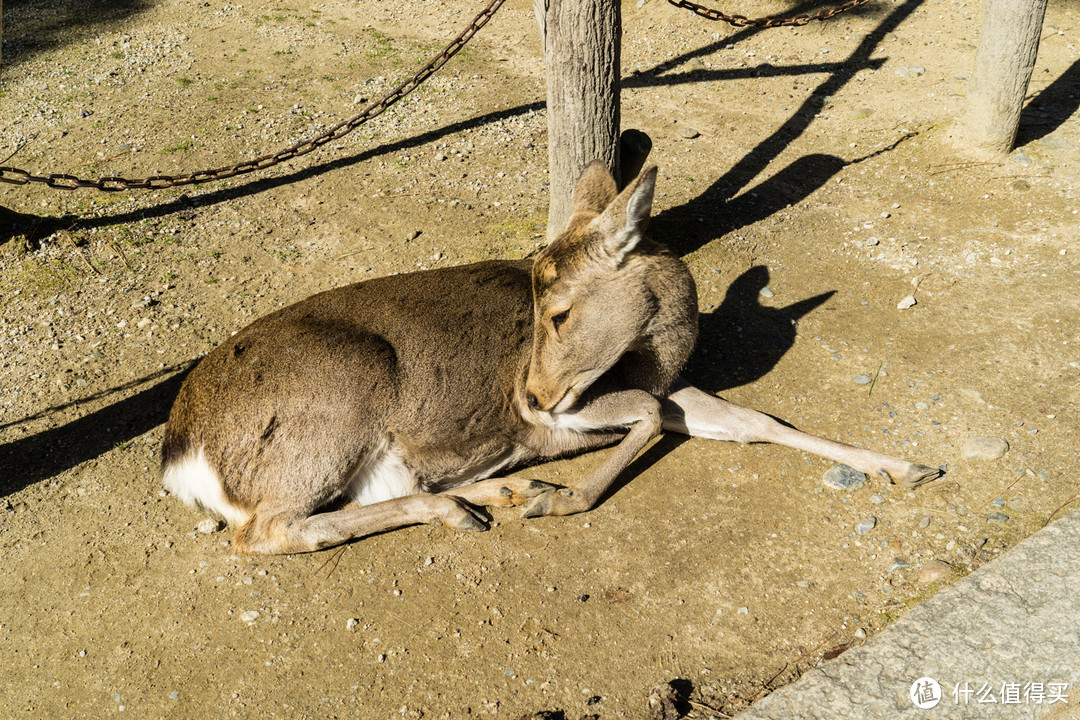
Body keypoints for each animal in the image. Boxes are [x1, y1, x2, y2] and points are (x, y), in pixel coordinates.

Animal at [157, 161, 937, 557]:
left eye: (557, 312)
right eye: (535, 314)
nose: (527, 395)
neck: (659, 355)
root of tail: (180, 457)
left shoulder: (659, 387)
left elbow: (756, 421)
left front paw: (907, 466)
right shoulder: (578, 410)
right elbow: (646, 414)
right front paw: (566, 499)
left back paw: (499, 491)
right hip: (333, 408)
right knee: (265, 533)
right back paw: (471, 507)